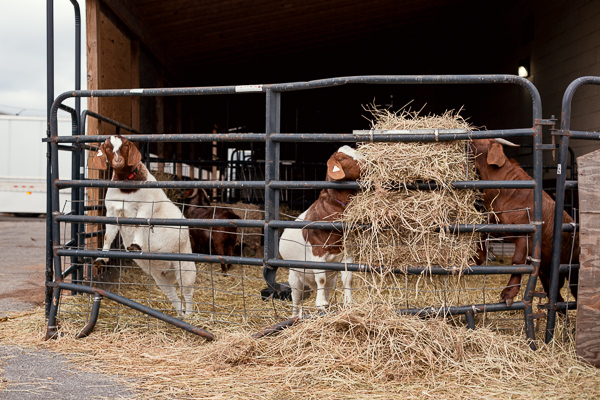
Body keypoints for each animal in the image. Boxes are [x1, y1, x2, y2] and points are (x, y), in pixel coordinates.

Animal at [91, 136, 197, 318]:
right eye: (107, 147)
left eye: (126, 145)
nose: (118, 161)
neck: (125, 188)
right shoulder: (112, 211)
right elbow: (108, 235)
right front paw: (101, 258)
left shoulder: (146, 206)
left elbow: (140, 223)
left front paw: (135, 245)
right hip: (160, 277)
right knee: (173, 296)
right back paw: (180, 314)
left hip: (185, 266)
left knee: (187, 291)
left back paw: (189, 316)